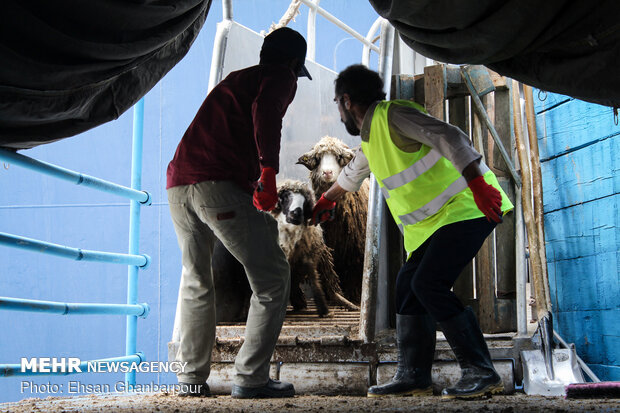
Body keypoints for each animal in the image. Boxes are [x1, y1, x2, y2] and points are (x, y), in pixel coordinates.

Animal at [272, 177, 358, 316]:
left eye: (305, 202)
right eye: (284, 197)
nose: (297, 213)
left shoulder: (308, 256)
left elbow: (314, 279)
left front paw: (322, 307)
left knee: (326, 281)